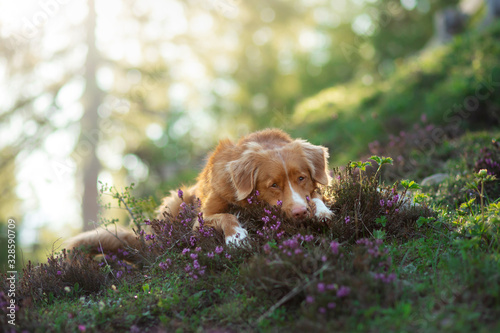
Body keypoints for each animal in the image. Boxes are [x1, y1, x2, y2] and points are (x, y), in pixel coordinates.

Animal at [65, 128, 332, 250]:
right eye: (273, 185)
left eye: (301, 178)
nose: (299, 213)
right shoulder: (201, 219)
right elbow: (226, 216)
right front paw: (236, 237)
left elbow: (317, 196)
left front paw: (321, 212)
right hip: (175, 201)